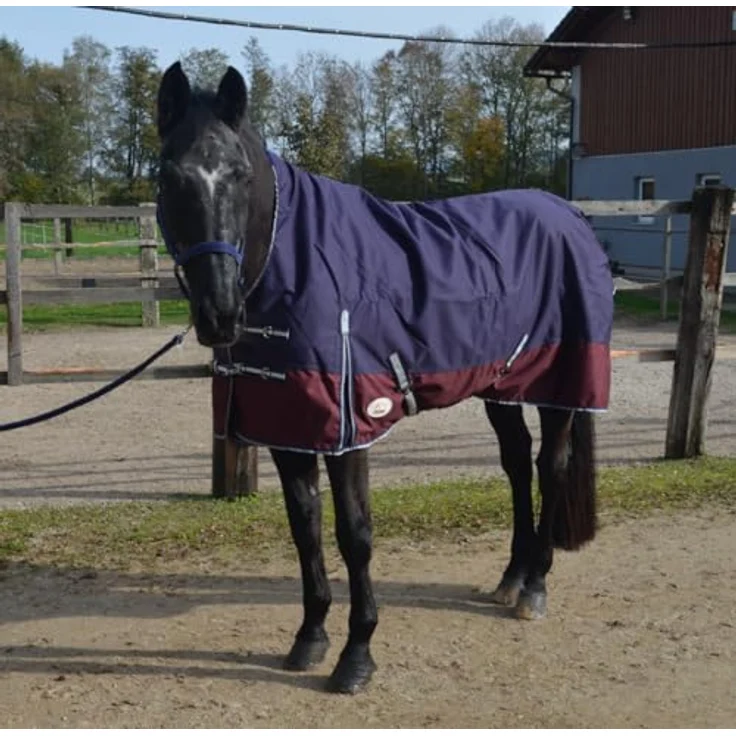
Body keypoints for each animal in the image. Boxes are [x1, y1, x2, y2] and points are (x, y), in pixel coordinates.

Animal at [155, 62, 614, 694]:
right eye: (169, 177)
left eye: (241, 175)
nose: (220, 314)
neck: (295, 265)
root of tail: (570, 215)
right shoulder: (288, 429)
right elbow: (305, 528)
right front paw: (310, 638)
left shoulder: (350, 429)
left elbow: (355, 535)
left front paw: (356, 655)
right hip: (501, 386)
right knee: (518, 465)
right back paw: (512, 578)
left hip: (558, 387)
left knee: (551, 466)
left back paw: (536, 588)